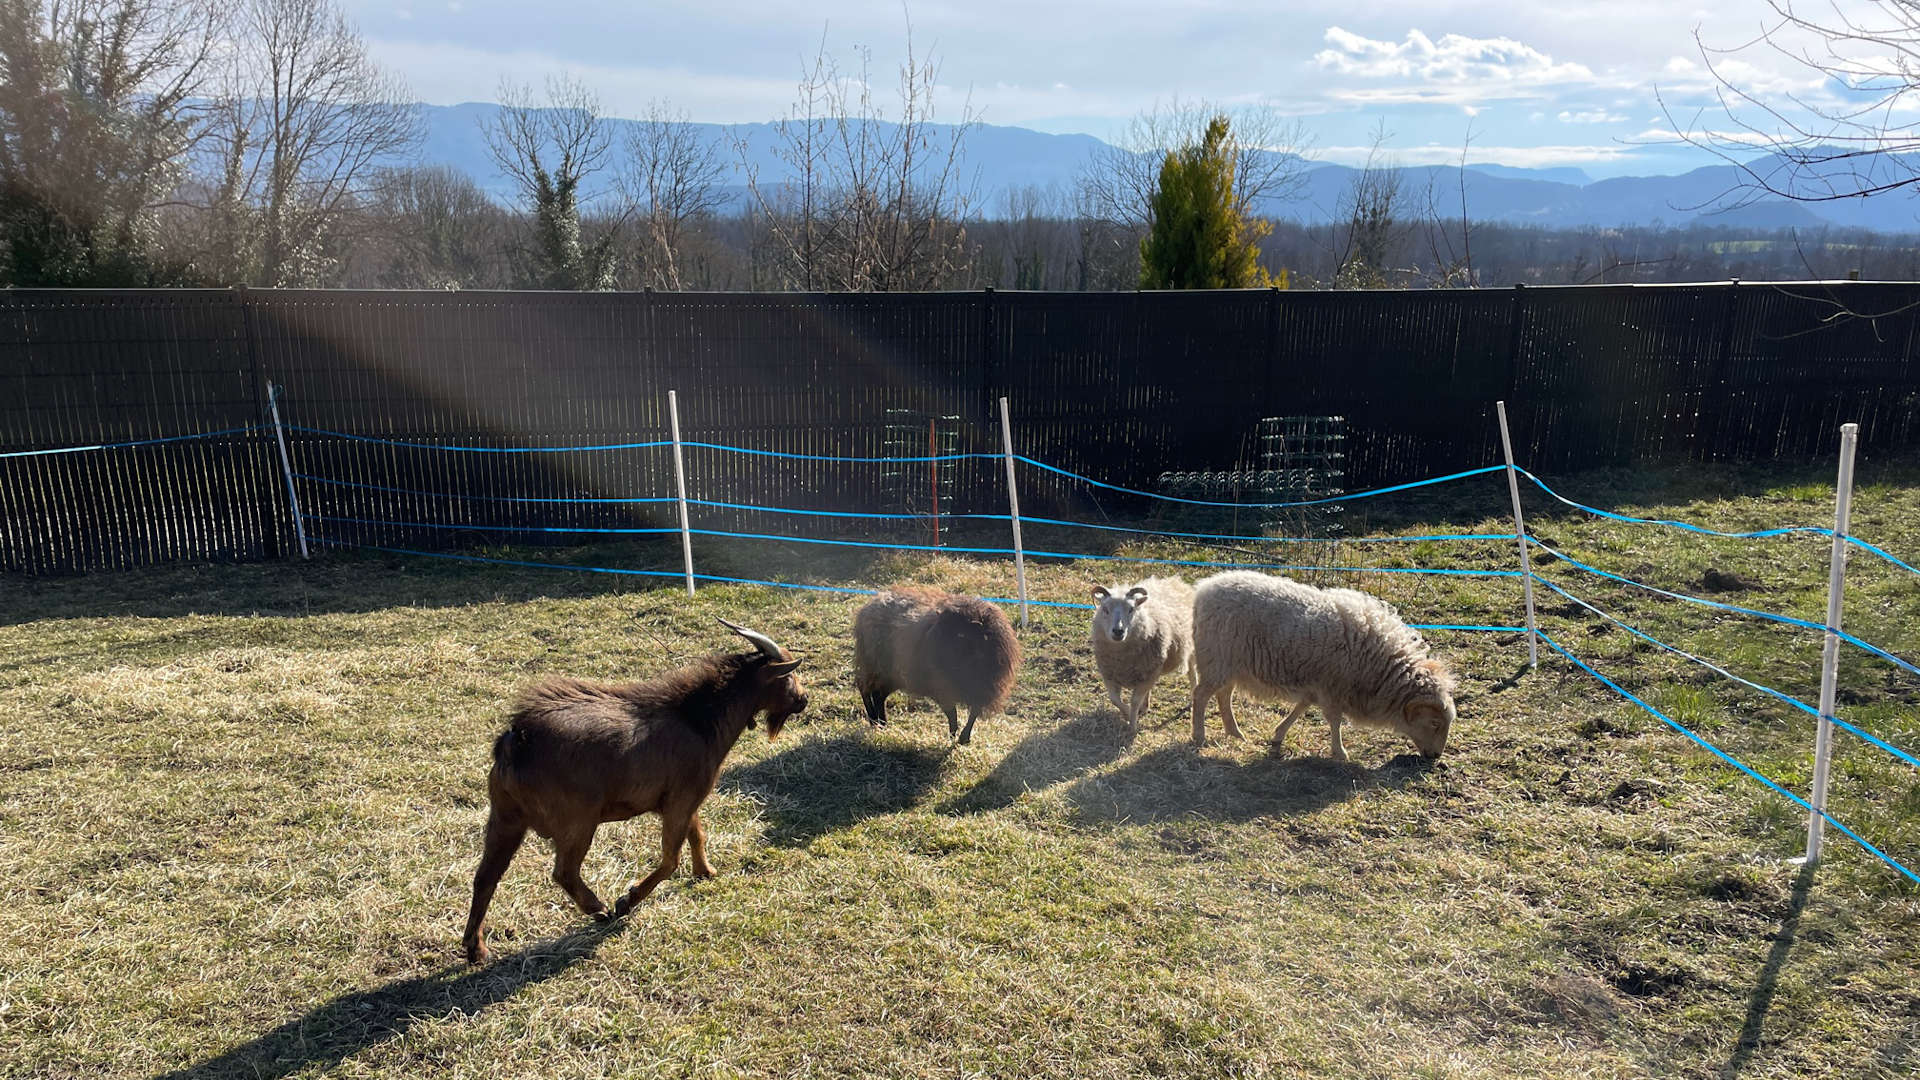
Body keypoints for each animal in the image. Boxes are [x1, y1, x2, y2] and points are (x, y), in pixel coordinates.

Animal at [460, 614, 806, 957]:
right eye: (789, 675)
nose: (803, 700)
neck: (696, 718)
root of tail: (516, 741)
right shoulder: (680, 801)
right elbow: (670, 859)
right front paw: (628, 900)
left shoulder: (684, 801)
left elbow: (697, 834)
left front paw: (706, 872)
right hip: (577, 822)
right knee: (563, 871)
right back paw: (599, 910)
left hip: (506, 817)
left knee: (486, 875)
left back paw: (476, 947)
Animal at [848, 584, 1013, 745]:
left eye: (960, 634)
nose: (932, 660)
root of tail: (868, 606)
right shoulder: (942, 688)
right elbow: (952, 714)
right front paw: (952, 737)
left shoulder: (983, 691)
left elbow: (973, 714)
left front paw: (964, 738)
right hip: (873, 665)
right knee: (864, 689)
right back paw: (873, 721)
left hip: (892, 675)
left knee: (878, 695)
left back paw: (882, 724)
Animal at [1090, 572, 1190, 730]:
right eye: (1105, 609)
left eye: (1131, 609)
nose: (1118, 631)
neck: (1122, 657)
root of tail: (1177, 581)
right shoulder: (1110, 675)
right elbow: (1114, 699)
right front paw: (1126, 713)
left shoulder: (1148, 675)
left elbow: (1134, 702)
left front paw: (1132, 725)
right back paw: (1145, 706)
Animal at [1182, 568, 1451, 753]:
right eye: (1435, 723)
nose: (1436, 757)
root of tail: (1204, 590)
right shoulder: (1333, 687)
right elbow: (1334, 720)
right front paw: (1339, 752)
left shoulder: (1318, 684)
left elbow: (1302, 707)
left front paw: (1279, 734)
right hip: (1216, 660)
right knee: (1201, 695)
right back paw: (1199, 735)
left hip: (1228, 664)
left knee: (1223, 696)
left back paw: (1235, 733)